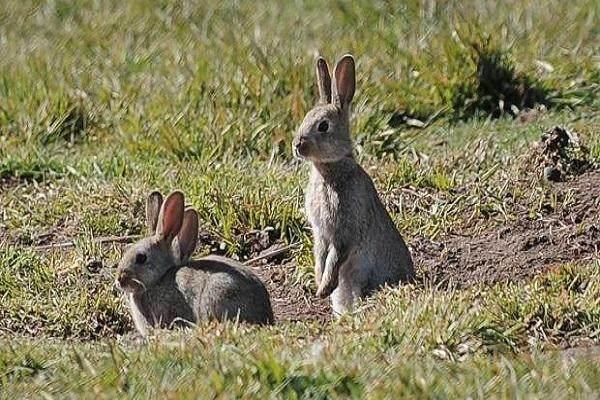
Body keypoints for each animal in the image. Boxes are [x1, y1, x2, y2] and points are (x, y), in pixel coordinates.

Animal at [292, 54, 414, 316]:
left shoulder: (344, 230)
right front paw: (319, 284)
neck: (329, 169)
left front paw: (323, 289)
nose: (297, 145)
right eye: (306, 117)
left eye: (323, 126)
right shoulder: (321, 233)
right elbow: (320, 256)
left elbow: (336, 256)